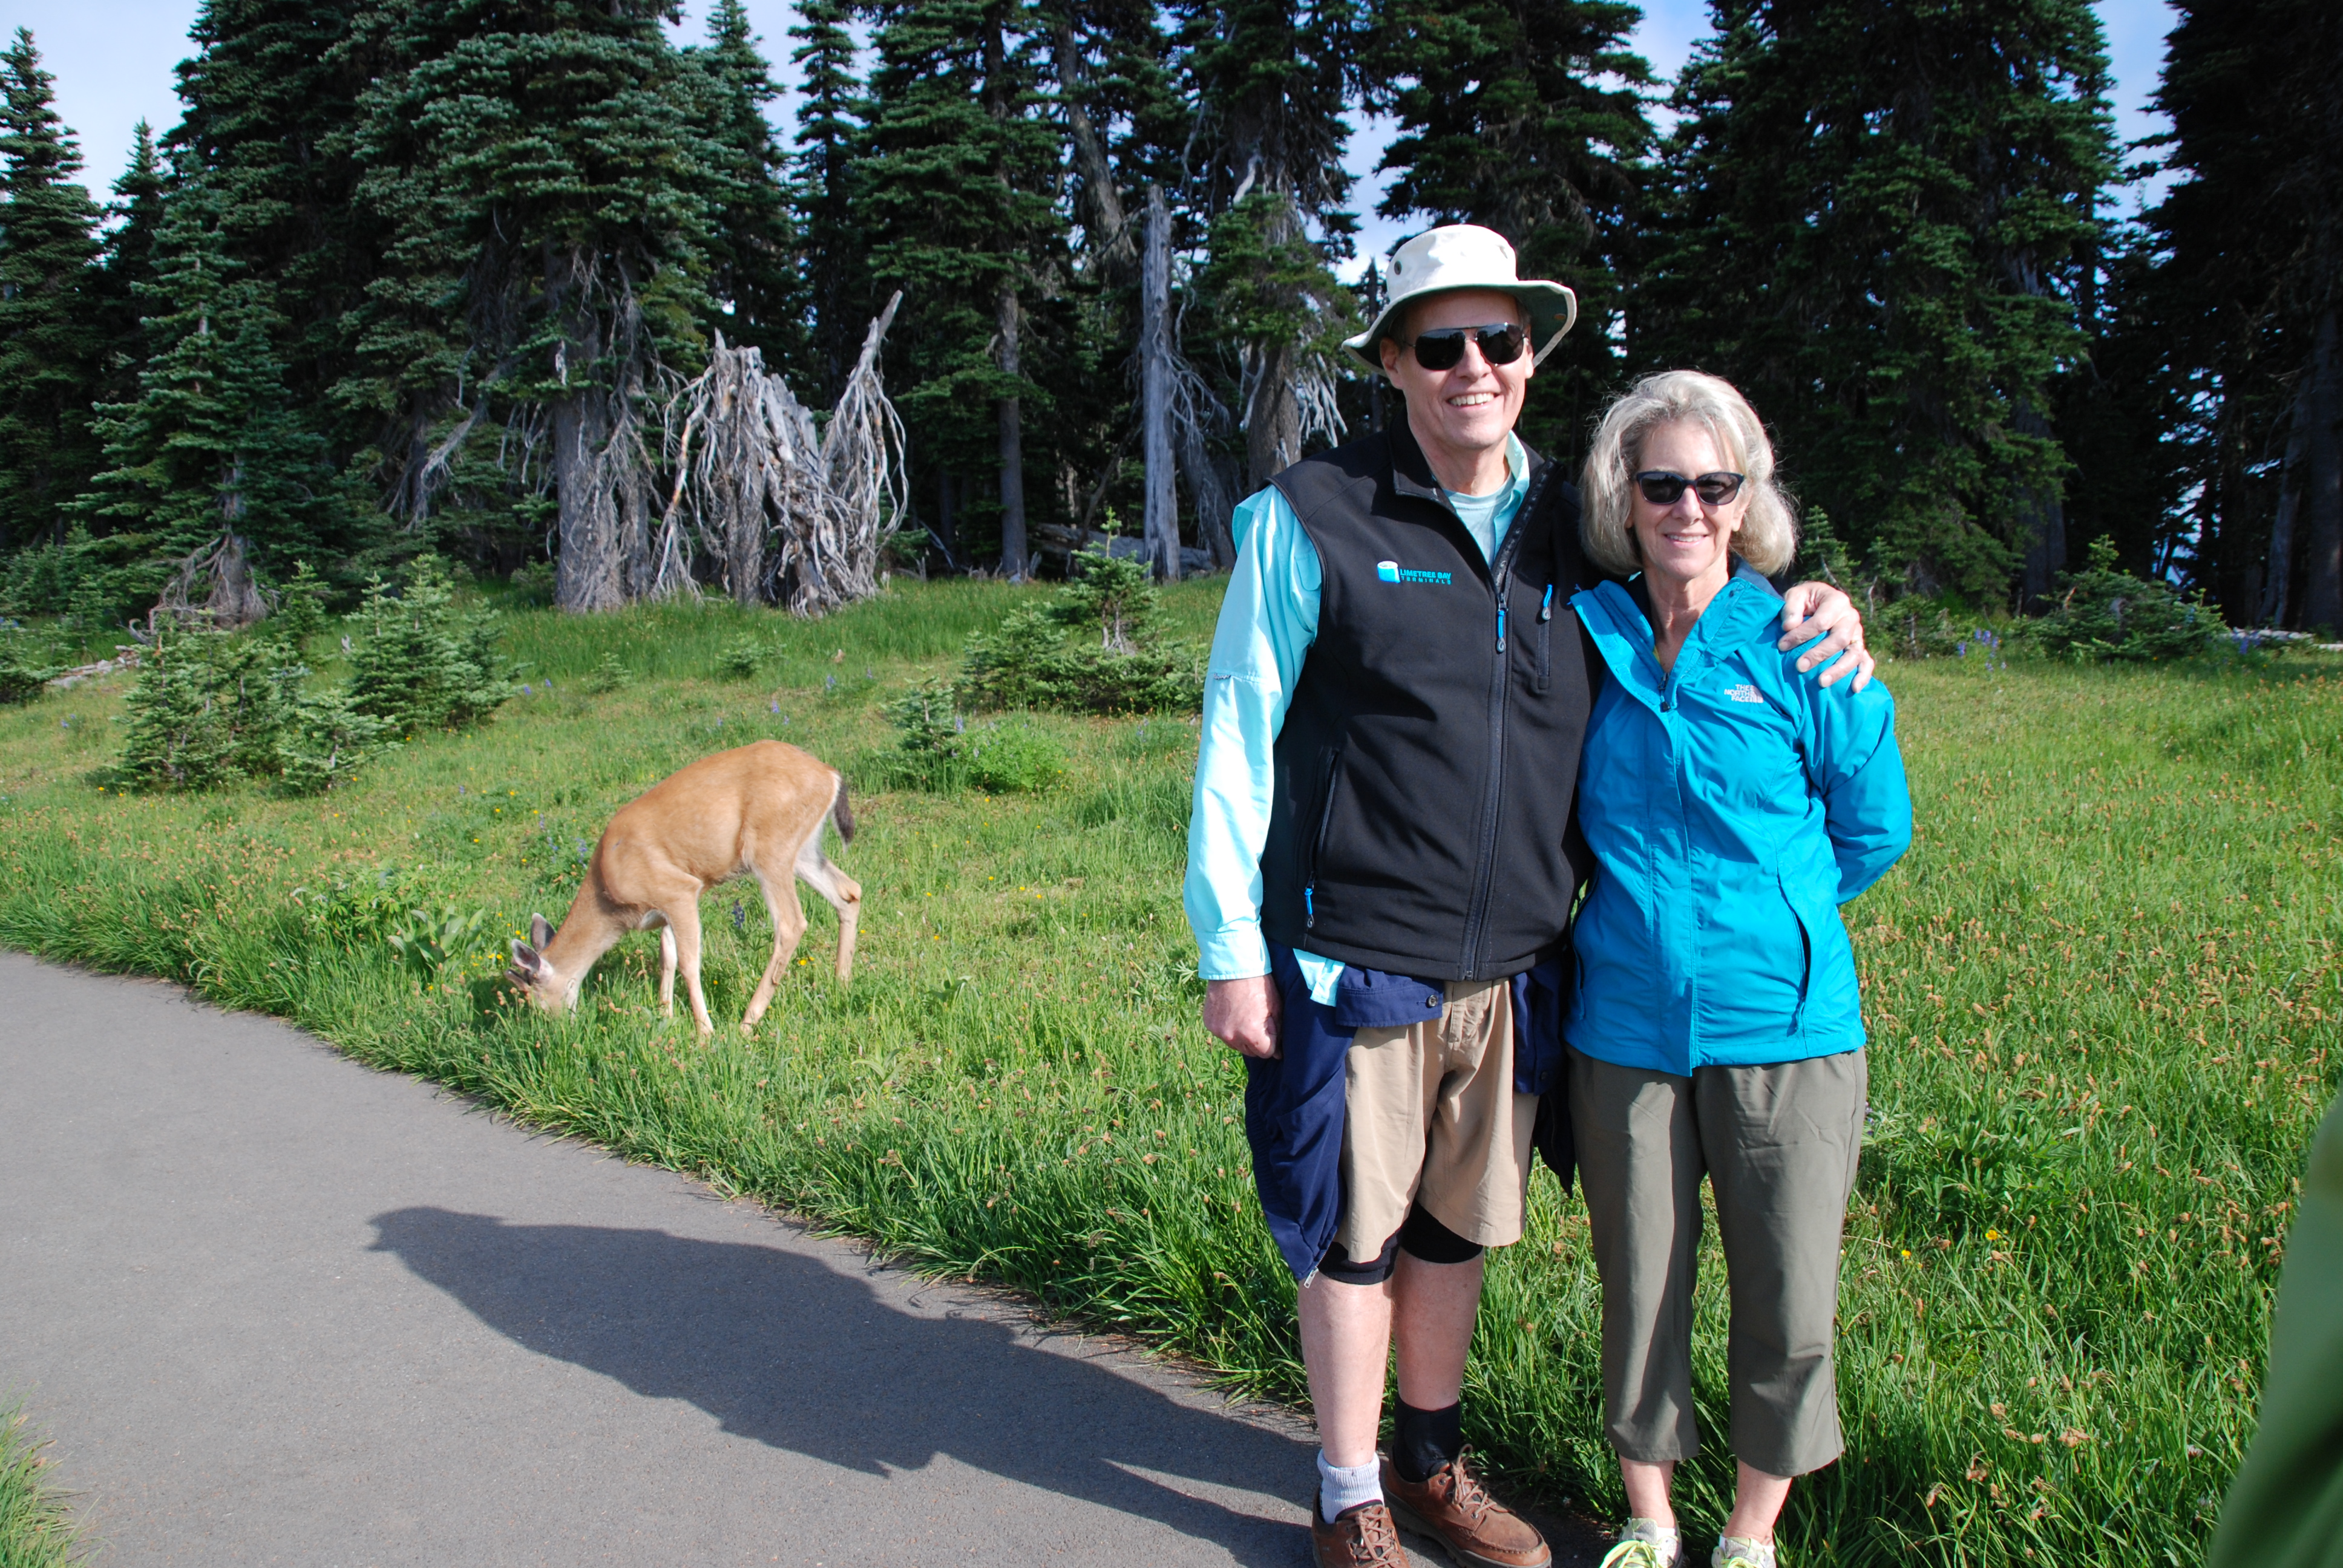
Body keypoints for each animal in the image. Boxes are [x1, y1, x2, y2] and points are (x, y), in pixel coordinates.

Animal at [505, 740, 861, 1037]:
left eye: (534, 1000)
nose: (554, 1032)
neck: (609, 896)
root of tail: (830, 775)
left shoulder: (679, 889)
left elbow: (690, 963)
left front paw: (705, 1032)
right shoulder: (665, 907)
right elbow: (668, 956)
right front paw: (665, 1014)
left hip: (769, 847)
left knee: (791, 923)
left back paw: (747, 1023)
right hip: (803, 851)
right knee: (849, 891)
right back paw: (841, 983)